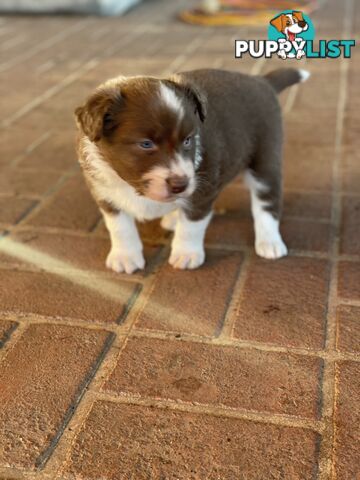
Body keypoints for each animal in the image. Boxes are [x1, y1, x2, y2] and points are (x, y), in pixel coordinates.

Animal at [75, 69, 310, 276]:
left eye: (188, 140)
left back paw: (269, 241)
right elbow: (120, 227)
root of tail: (262, 81)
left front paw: (186, 254)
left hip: (265, 158)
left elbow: (192, 225)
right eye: (146, 144)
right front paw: (125, 257)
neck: (134, 188)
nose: (181, 185)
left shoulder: (202, 191)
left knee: (267, 202)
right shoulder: (104, 193)